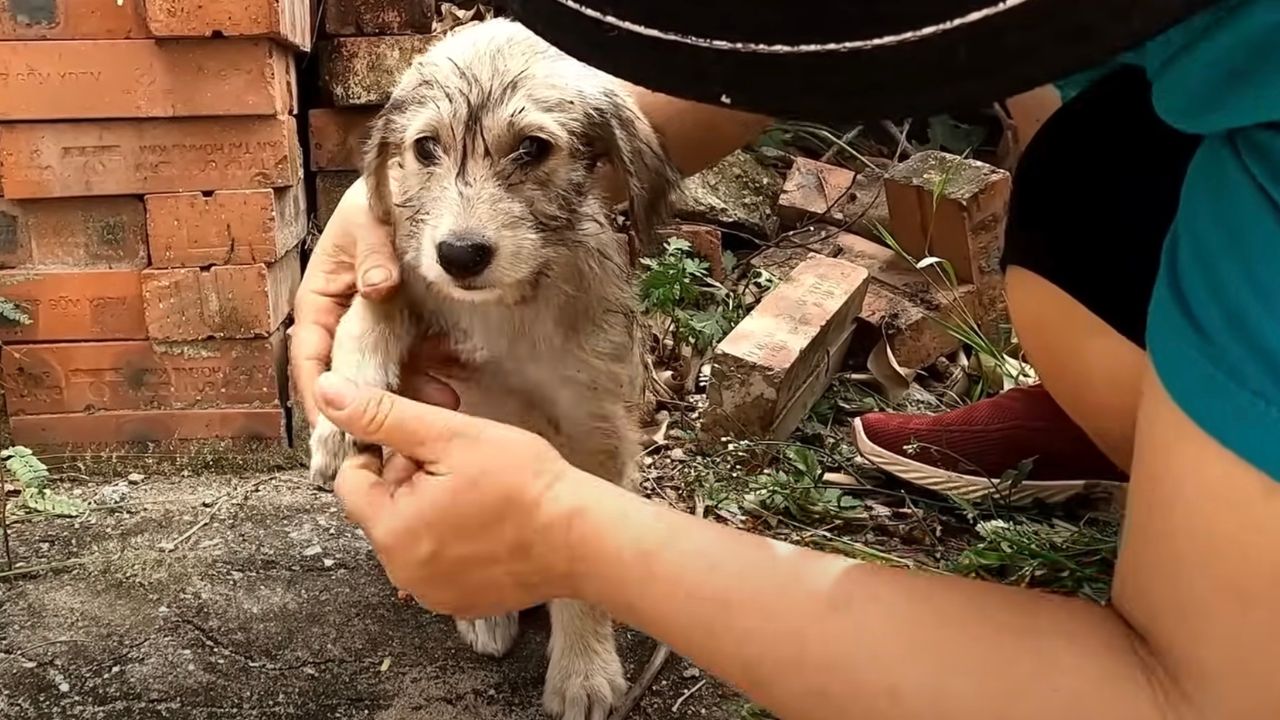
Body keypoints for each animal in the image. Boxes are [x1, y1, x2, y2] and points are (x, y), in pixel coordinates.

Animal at [308, 15, 686, 717]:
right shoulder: (405, 272)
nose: (459, 254)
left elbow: (577, 560)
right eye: (426, 147)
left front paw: (583, 671)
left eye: (533, 149)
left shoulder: (592, 428)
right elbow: (370, 309)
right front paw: (339, 423)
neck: (504, 308)